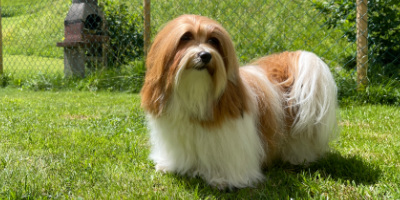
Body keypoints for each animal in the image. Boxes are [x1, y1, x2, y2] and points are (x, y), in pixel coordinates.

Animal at [141, 14, 338, 189]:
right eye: (186, 37)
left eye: (213, 41)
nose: (205, 55)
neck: (196, 93)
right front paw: (169, 167)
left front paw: (222, 180)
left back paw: (299, 158)